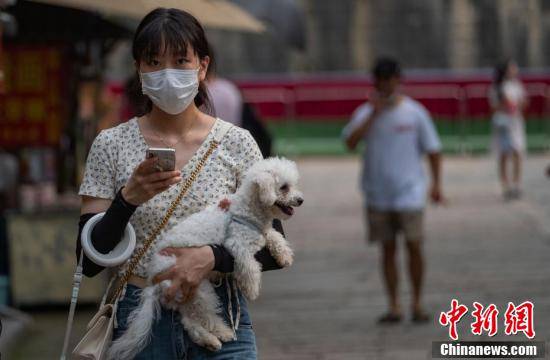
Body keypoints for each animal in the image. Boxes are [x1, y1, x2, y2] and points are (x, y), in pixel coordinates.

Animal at [106, 158, 306, 360]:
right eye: (284, 187)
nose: (300, 200)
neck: (246, 210)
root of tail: (153, 284)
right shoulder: (237, 244)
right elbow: (249, 266)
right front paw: (251, 289)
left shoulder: (262, 232)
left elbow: (275, 235)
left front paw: (284, 255)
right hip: (199, 288)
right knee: (204, 316)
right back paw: (222, 332)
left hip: (185, 294)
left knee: (189, 321)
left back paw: (209, 340)